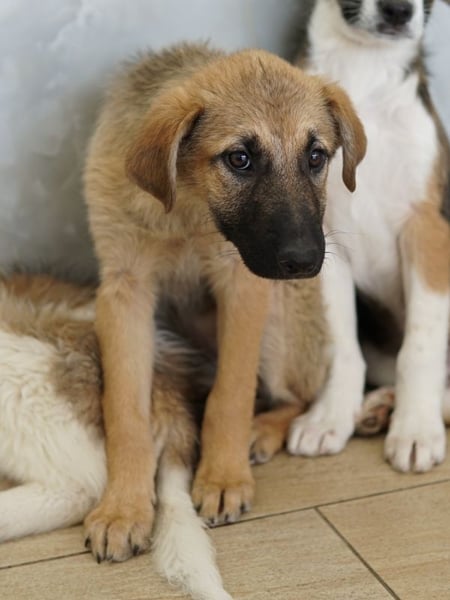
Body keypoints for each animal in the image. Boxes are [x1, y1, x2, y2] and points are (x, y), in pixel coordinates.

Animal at [82, 42, 366, 562]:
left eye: (317, 156)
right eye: (239, 159)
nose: (305, 261)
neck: (189, 208)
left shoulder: (244, 284)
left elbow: (231, 393)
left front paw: (223, 477)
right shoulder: (124, 291)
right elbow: (127, 409)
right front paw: (123, 509)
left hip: (279, 322)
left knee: (295, 395)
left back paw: (261, 432)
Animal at [287, 0, 450, 473]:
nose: (397, 12)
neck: (366, 69)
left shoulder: (427, 228)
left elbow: (420, 345)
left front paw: (415, 428)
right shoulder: (320, 239)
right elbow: (340, 345)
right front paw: (329, 417)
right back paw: (376, 407)